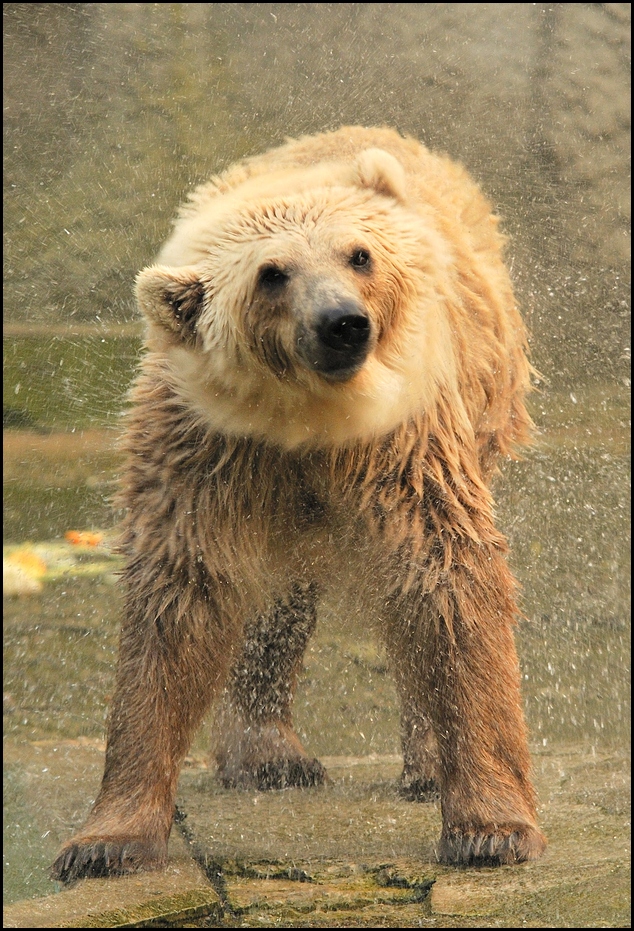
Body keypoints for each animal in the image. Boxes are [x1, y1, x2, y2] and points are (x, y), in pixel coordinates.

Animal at [51, 125, 547, 883]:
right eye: (272, 274)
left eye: (359, 254)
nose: (344, 323)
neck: (309, 425)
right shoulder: (203, 451)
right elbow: (178, 599)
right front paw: (106, 840)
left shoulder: (408, 444)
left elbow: (445, 577)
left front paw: (492, 829)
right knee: (276, 592)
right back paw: (268, 754)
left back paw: (425, 762)